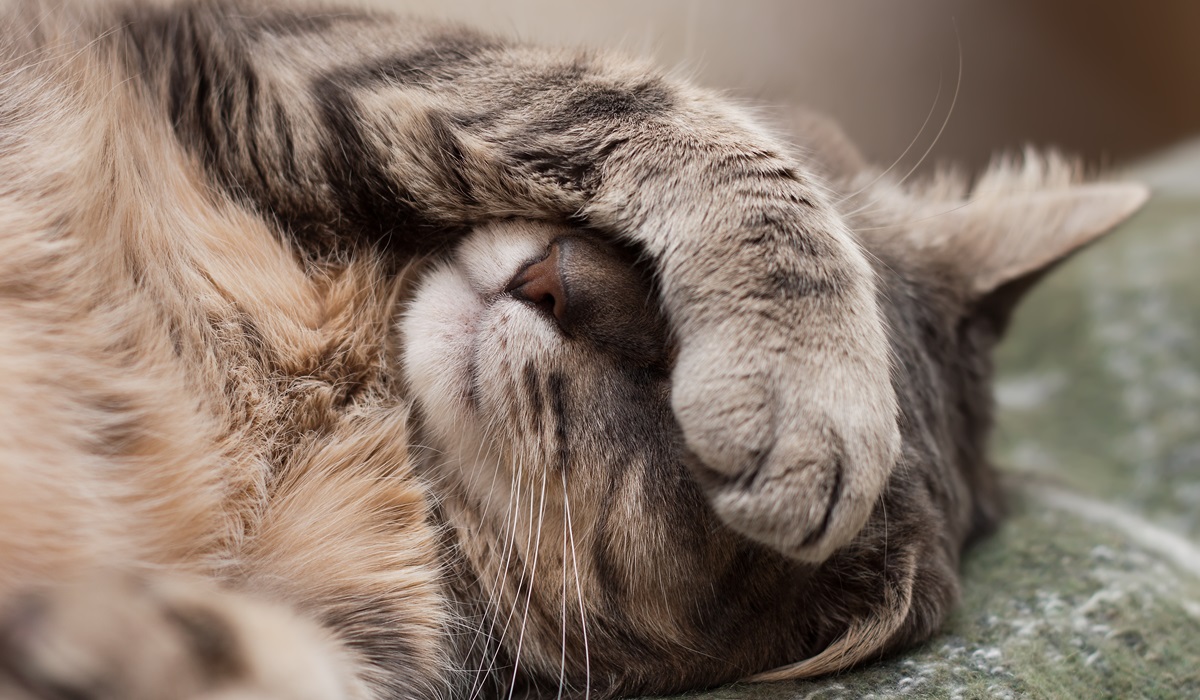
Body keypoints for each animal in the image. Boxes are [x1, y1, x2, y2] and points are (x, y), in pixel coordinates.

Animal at [0, 0, 1147, 696]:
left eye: (669, 423)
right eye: (635, 255)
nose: (558, 281)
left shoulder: (360, 635)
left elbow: (252, 656)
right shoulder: (295, 34)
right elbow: (643, 104)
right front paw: (819, 385)